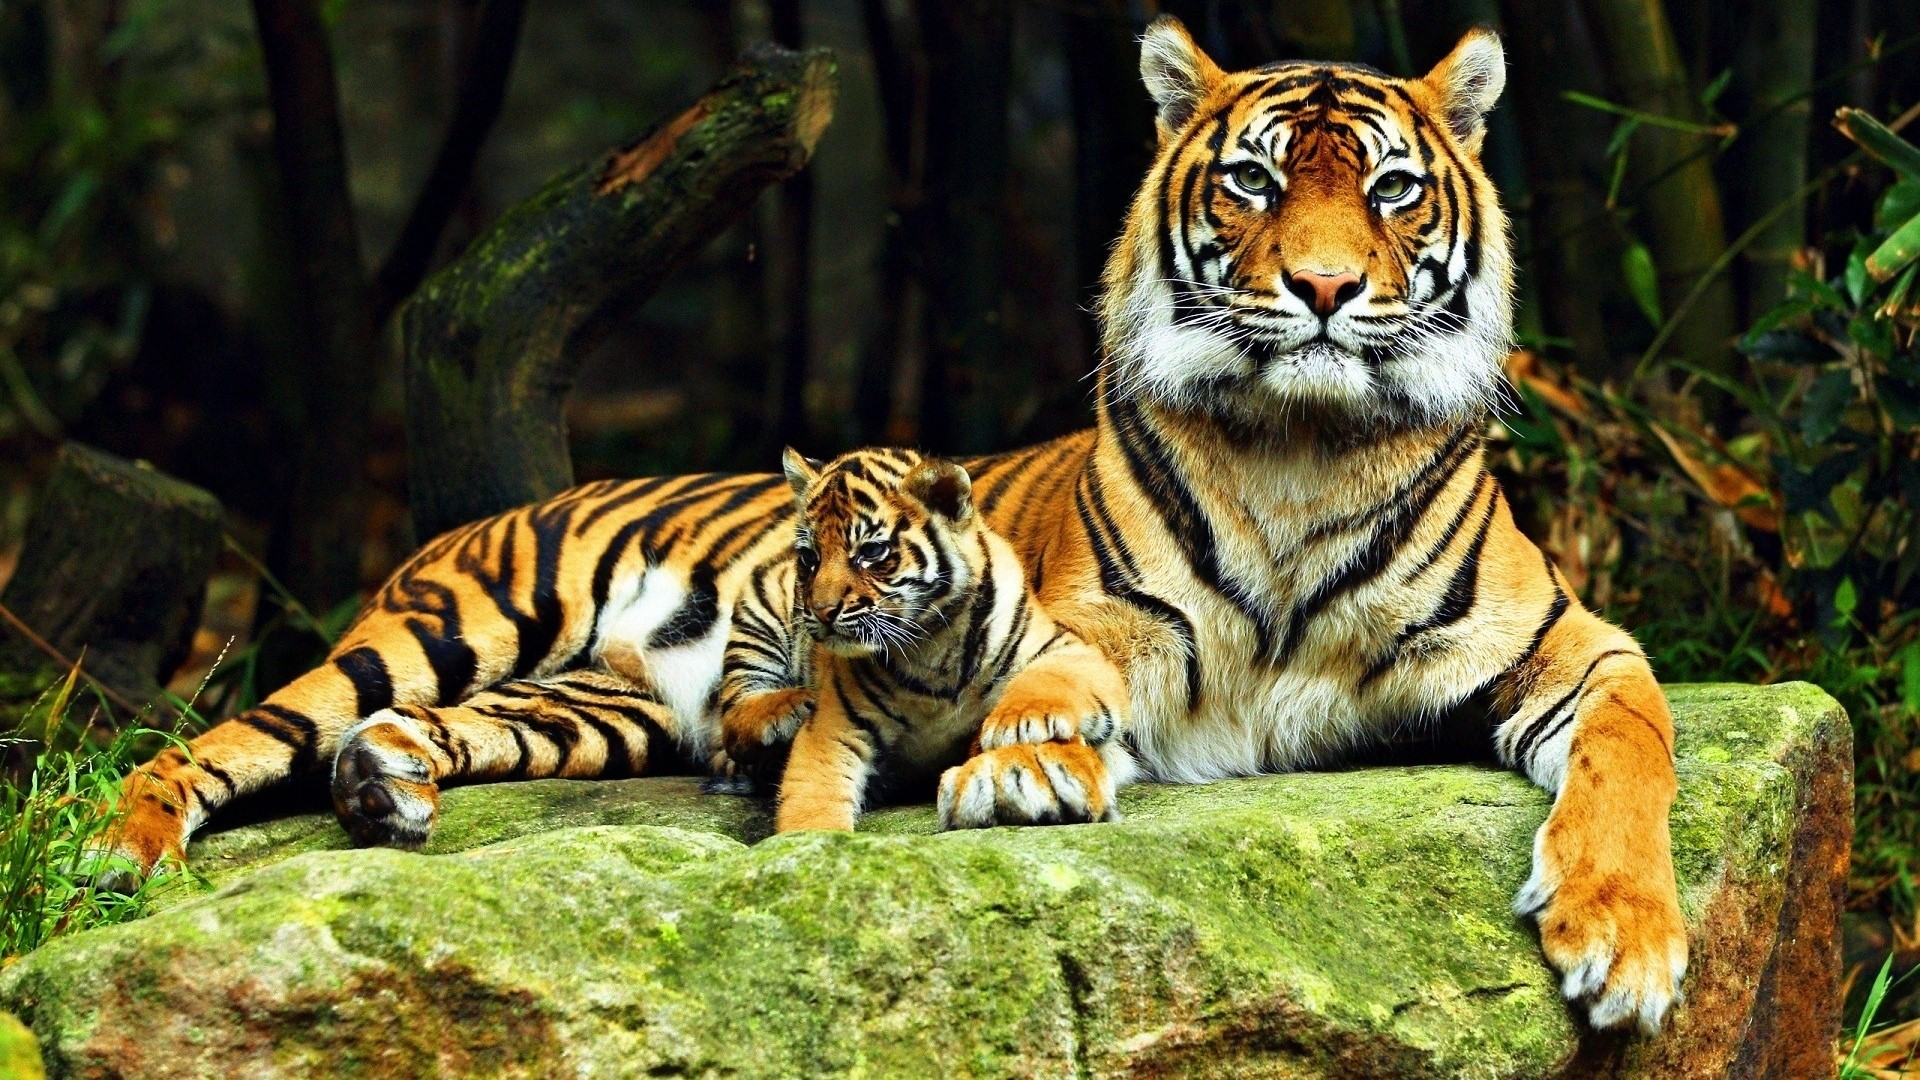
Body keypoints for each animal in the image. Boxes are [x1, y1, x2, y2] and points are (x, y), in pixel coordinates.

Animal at [772, 447, 1131, 833]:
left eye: (871, 552)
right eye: (810, 557)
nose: (822, 611)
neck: (931, 644)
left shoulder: (1071, 649)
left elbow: (1049, 679)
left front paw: (1016, 724)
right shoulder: (835, 729)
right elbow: (812, 802)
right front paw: (812, 840)